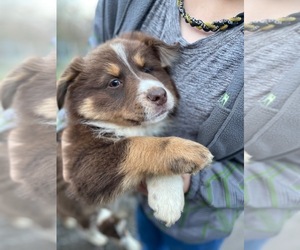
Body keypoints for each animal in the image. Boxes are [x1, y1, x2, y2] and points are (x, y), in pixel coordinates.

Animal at [58, 31, 213, 227]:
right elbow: (137, 144)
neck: (130, 127)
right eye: (114, 82)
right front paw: (187, 150)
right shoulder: (82, 166)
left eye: (147, 69)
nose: (159, 95)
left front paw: (167, 198)